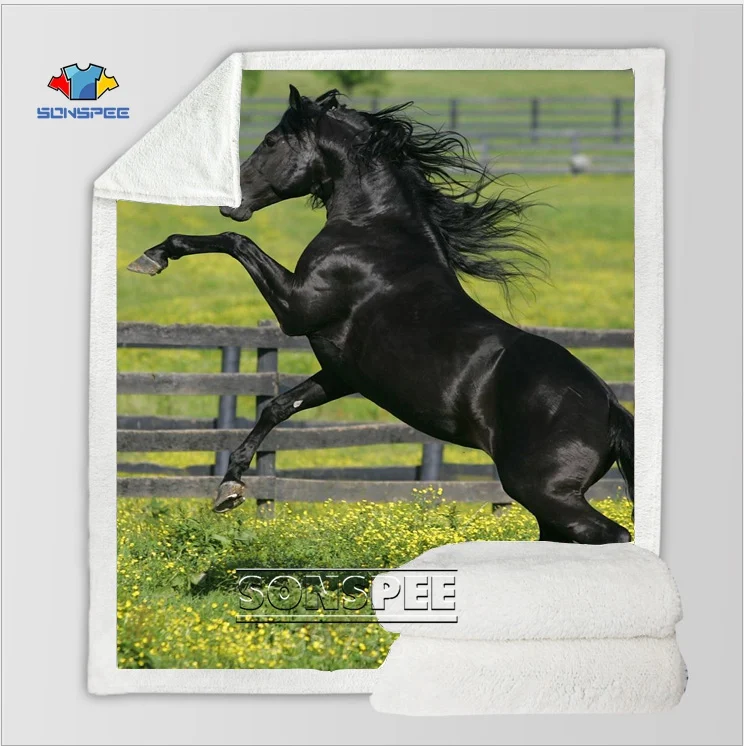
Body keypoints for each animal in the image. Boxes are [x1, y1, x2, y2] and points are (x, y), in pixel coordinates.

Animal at [127, 85, 634, 544]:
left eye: (270, 141)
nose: (228, 201)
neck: (373, 231)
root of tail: (611, 409)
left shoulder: (297, 308)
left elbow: (236, 243)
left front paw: (155, 255)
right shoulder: (342, 373)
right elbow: (277, 405)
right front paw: (229, 487)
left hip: (543, 490)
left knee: (615, 535)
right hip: (547, 504)